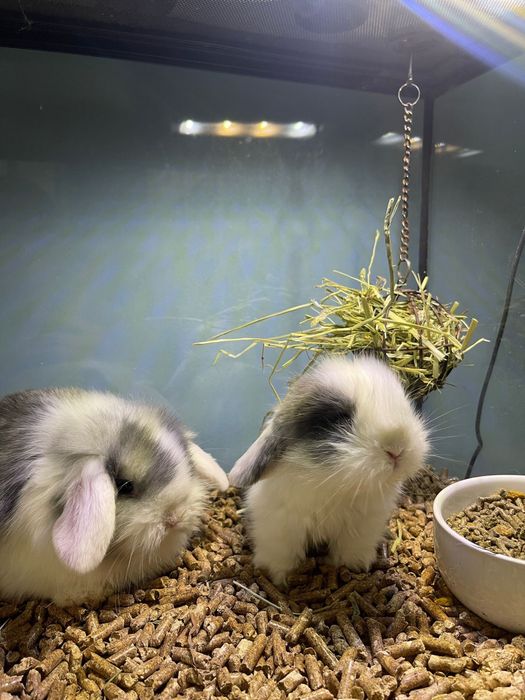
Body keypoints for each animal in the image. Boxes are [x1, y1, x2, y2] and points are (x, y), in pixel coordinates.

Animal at [228, 354, 429, 585]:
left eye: (406, 404)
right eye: (337, 419)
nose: (397, 449)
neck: (334, 485)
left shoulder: (362, 526)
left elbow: (351, 549)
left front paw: (356, 566)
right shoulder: (281, 527)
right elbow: (282, 553)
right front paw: (279, 577)